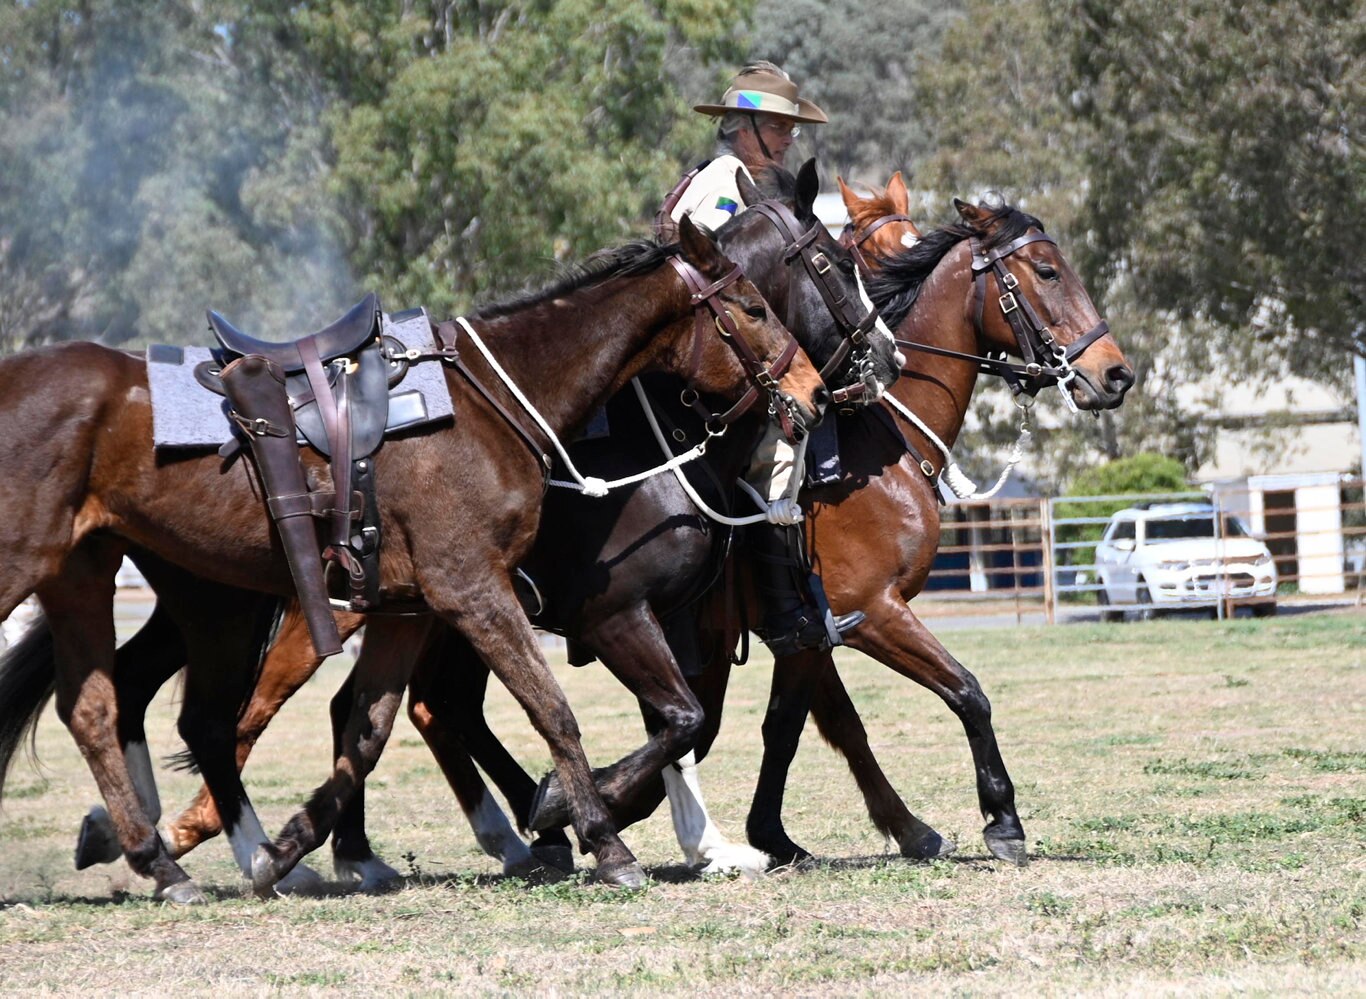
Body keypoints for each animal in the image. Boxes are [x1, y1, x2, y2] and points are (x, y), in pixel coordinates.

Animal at [0, 214, 819, 901]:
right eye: (752, 307)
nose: (812, 391)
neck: (492, 402)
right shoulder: (484, 592)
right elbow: (564, 711)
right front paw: (596, 835)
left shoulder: (408, 610)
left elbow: (366, 731)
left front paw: (289, 849)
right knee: (201, 719)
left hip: (111, 582)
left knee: (104, 708)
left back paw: (166, 859)